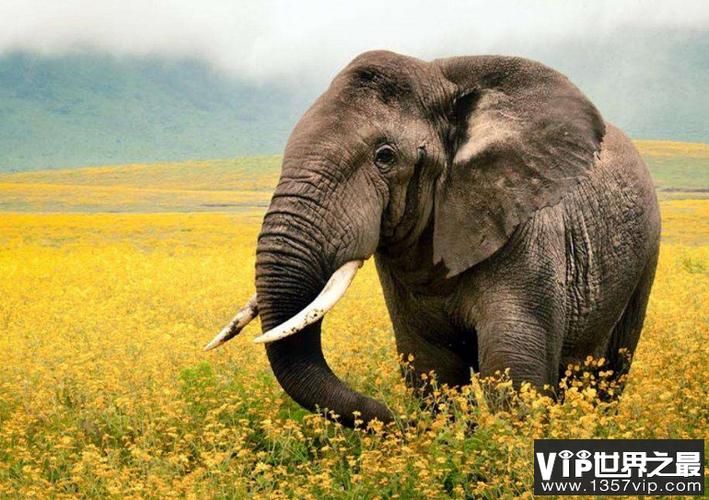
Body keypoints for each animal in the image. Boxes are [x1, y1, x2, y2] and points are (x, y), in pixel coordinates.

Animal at [205, 50, 660, 428]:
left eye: (385, 157)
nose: (392, 420)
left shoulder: (529, 231)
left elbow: (513, 369)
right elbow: (432, 367)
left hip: (645, 255)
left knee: (610, 370)